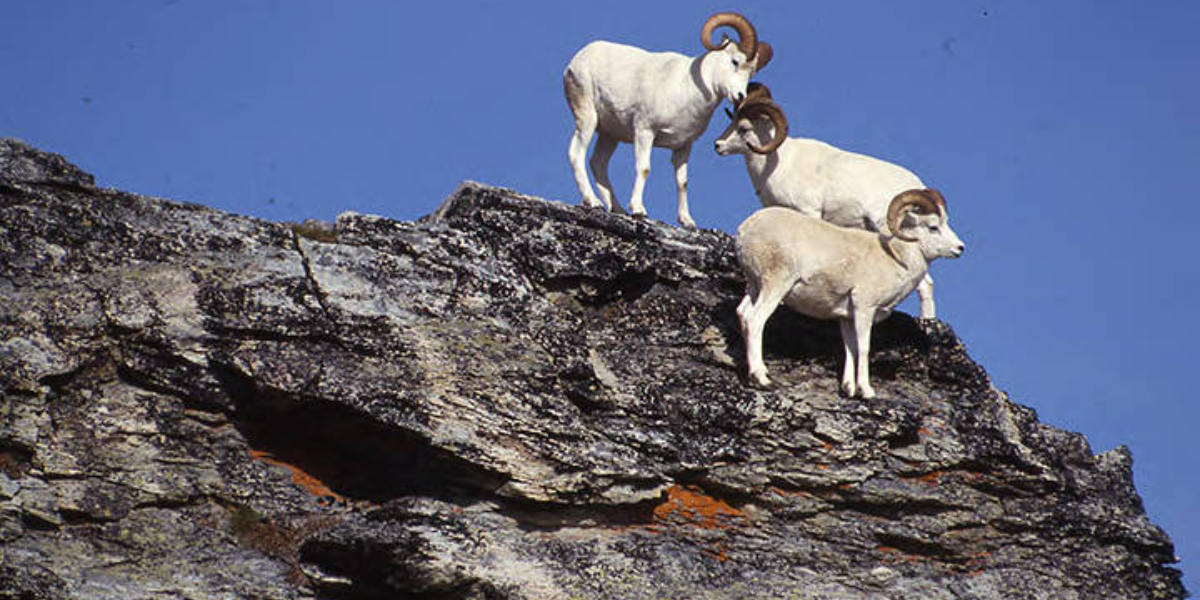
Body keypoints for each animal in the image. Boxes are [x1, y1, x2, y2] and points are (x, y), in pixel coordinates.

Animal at [559, 14, 768, 229]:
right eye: (735, 62)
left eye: (751, 72)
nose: (740, 96)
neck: (686, 89)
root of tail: (578, 59)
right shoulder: (645, 132)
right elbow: (644, 168)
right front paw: (638, 210)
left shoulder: (684, 147)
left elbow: (682, 182)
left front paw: (687, 221)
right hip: (587, 118)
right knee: (577, 153)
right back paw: (593, 201)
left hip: (609, 136)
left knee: (598, 163)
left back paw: (617, 209)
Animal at [715, 85, 950, 319]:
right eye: (731, 120)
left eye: (744, 128)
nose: (718, 145)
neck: (778, 163)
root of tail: (917, 184)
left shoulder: (809, 211)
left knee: (925, 284)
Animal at [729, 189, 964, 398]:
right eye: (933, 227)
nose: (960, 248)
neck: (896, 259)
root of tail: (746, 229)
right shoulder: (864, 308)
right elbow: (863, 348)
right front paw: (866, 391)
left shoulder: (846, 317)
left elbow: (850, 348)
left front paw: (849, 389)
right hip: (776, 285)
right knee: (755, 320)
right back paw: (762, 378)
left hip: (755, 287)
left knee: (742, 313)